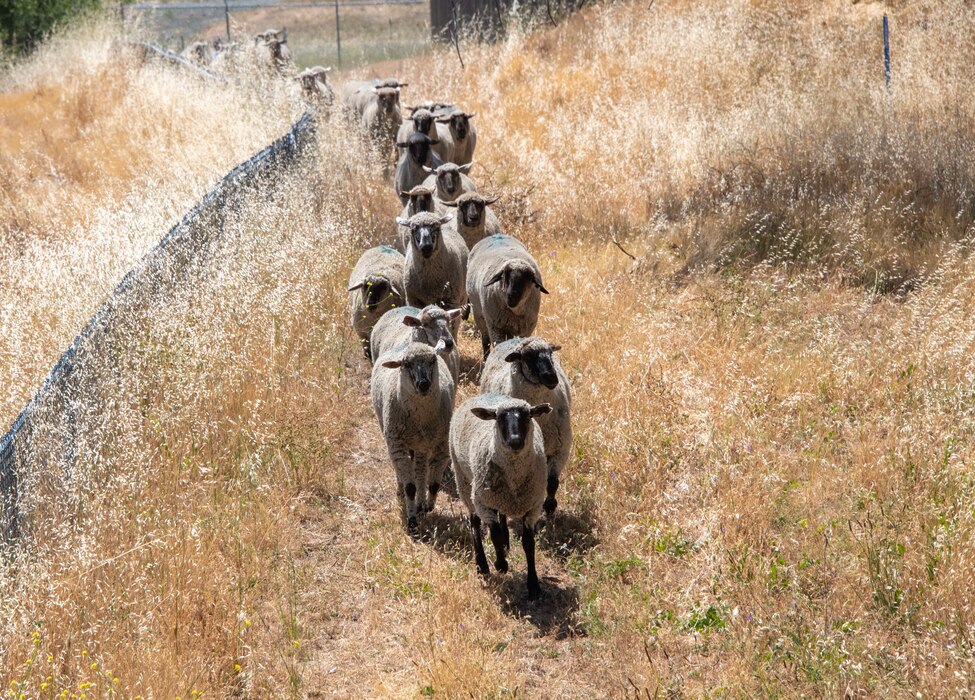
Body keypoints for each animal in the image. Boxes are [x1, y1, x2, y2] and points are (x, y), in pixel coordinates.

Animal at [372, 341, 455, 534]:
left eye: (432, 360)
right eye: (406, 364)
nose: (423, 384)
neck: (421, 418)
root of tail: (409, 343)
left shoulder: (442, 445)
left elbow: (433, 484)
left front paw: (427, 506)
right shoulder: (397, 445)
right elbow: (410, 487)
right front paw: (412, 524)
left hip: (421, 444)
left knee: (421, 470)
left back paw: (422, 502)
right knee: (406, 473)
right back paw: (401, 490)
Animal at [449, 393, 552, 600]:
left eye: (528, 416)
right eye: (499, 418)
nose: (515, 441)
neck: (514, 478)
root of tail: (483, 395)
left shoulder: (533, 506)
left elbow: (528, 543)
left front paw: (533, 585)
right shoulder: (483, 501)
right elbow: (494, 534)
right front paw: (501, 565)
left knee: (502, 514)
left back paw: (505, 543)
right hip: (466, 485)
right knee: (474, 523)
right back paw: (482, 565)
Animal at [480, 337, 572, 516]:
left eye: (550, 353)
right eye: (527, 356)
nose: (552, 378)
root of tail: (515, 338)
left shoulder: (560, 448)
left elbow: (552, 482)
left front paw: (550, 506)